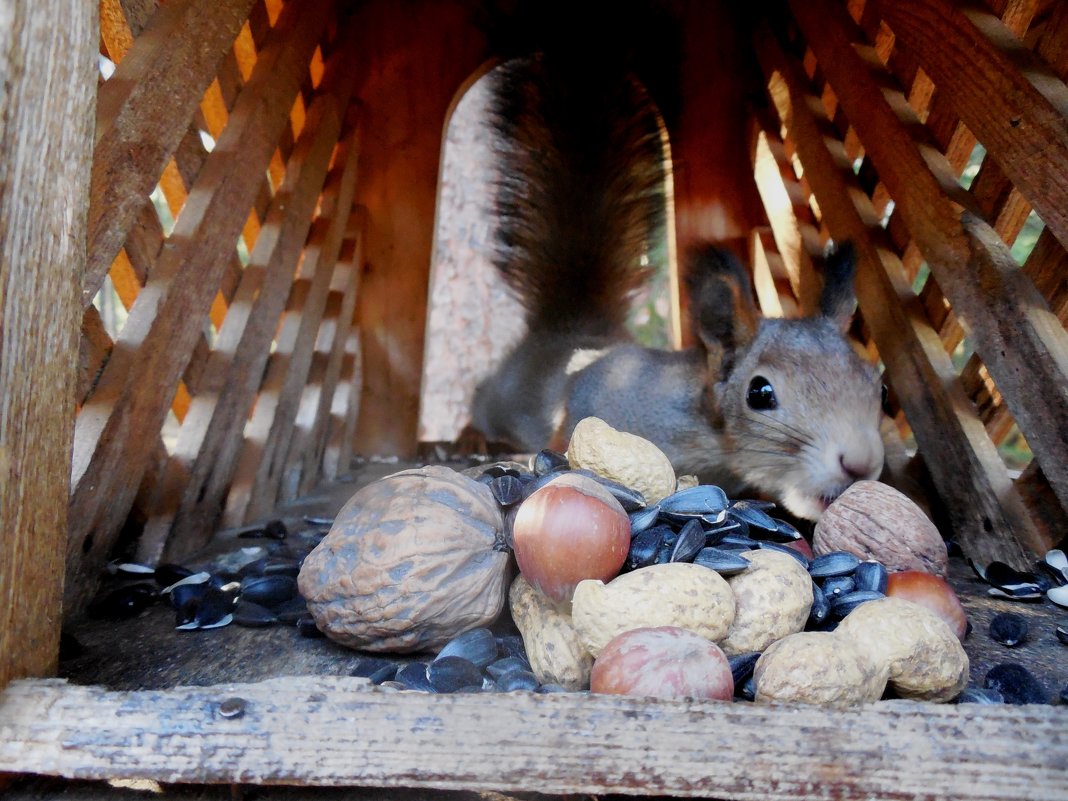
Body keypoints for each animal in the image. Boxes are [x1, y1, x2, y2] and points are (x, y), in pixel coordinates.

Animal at [463, 45, 888, 521]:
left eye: (880, 387)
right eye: (759, 393)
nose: (860, 462)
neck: (711, 441)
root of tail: (571, 329)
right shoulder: (601, 395)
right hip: (504, 395)